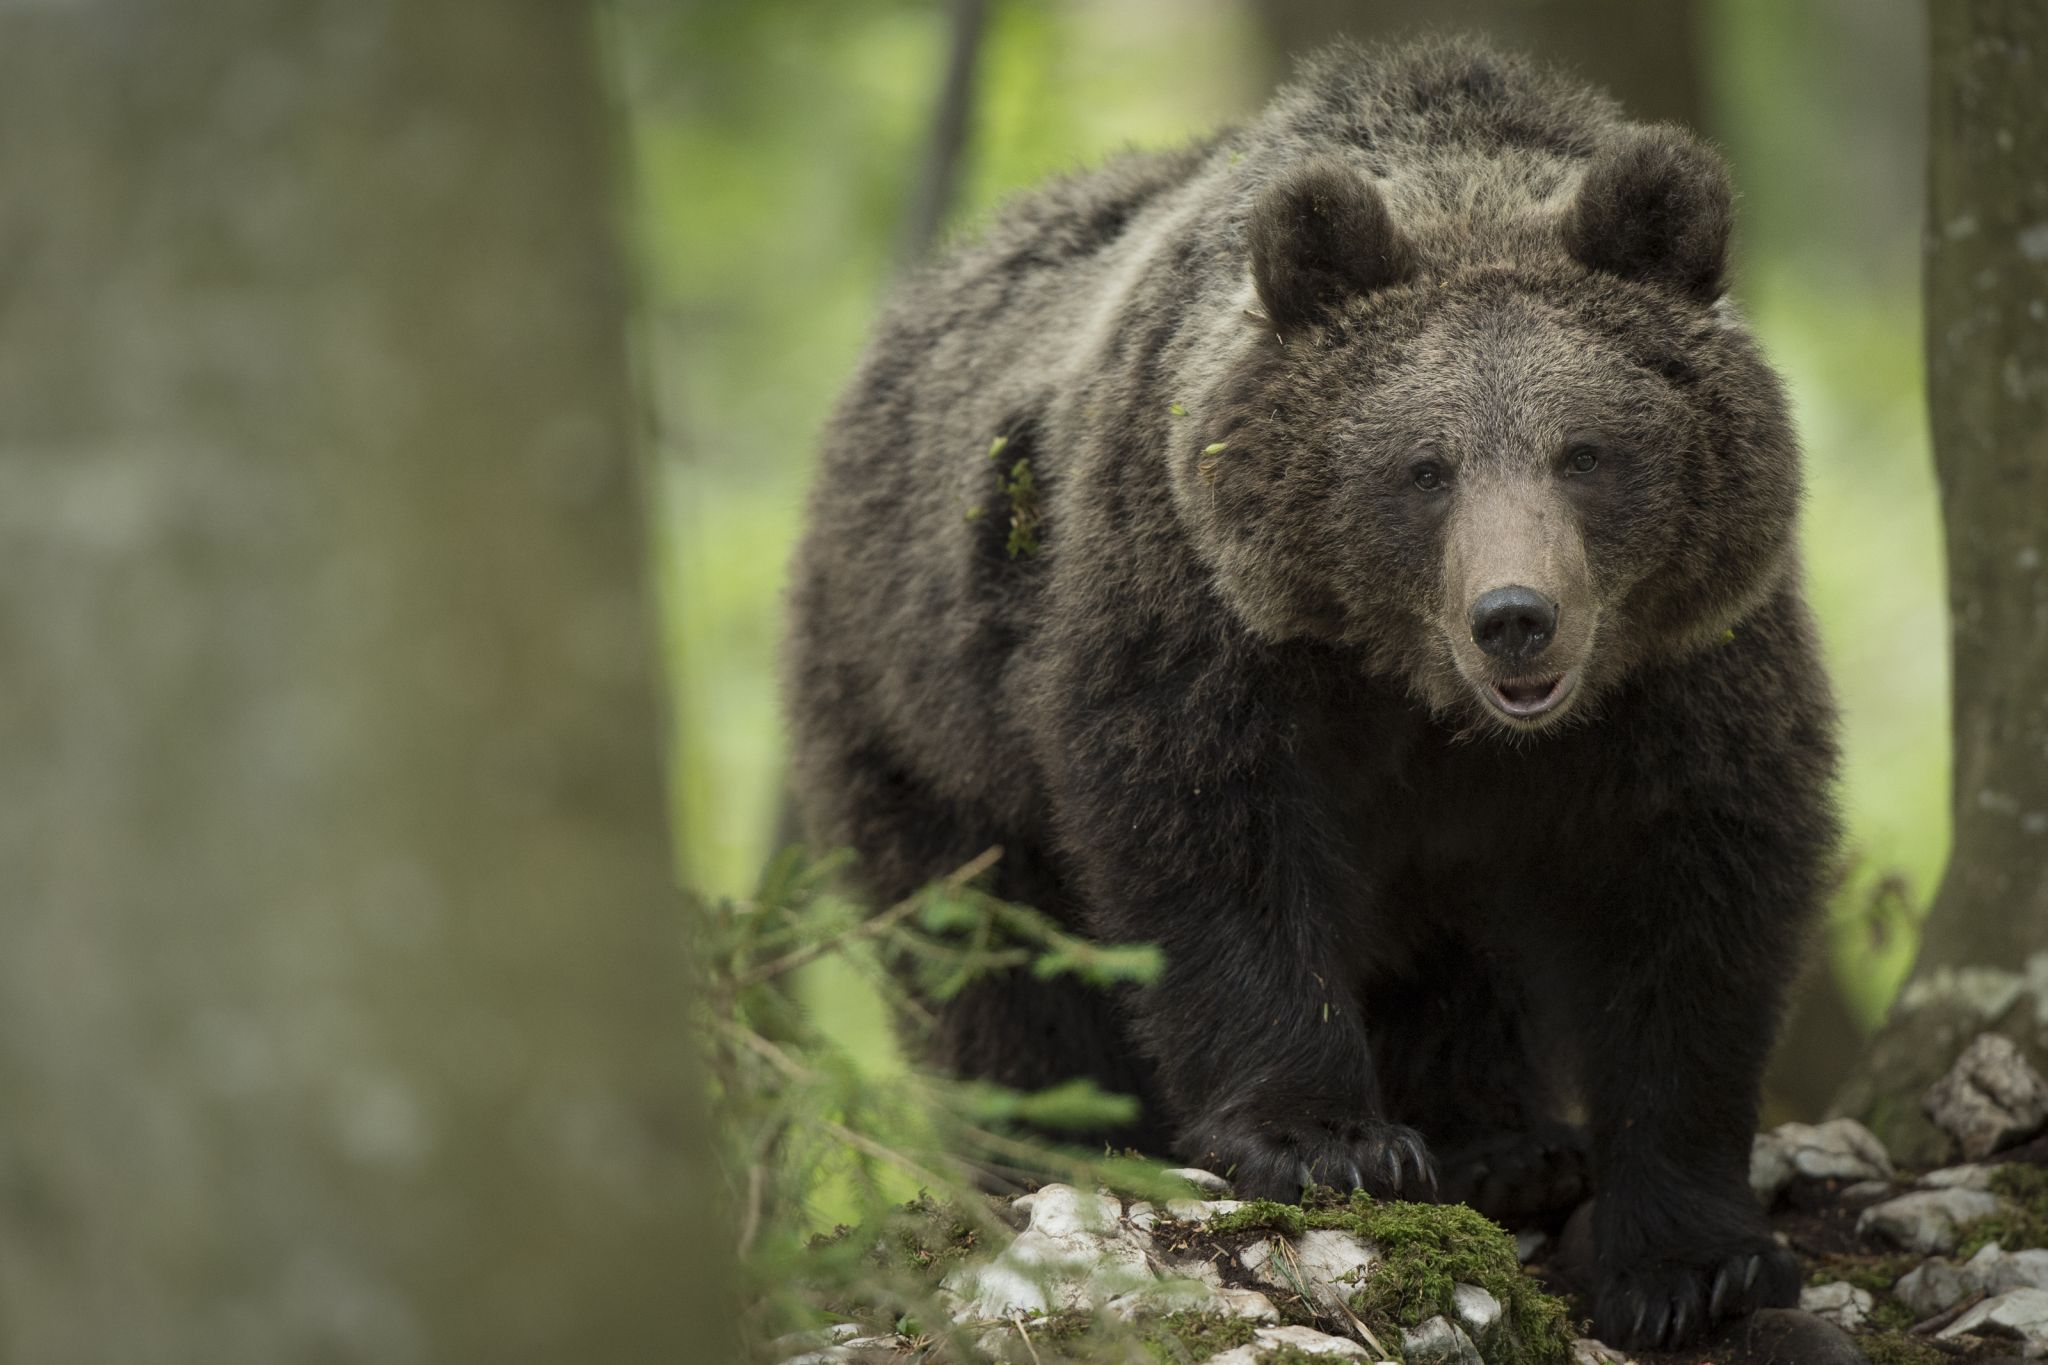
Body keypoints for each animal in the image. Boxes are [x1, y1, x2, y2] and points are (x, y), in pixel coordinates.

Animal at [782, 36, 1838, 1352]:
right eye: (1422, 468)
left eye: (1585, 452)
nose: (1513, 615)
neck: (1420, 691)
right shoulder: (1200, 611)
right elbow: (1213, 848)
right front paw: (1324, 1142)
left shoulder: (1684, 668)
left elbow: (1694, 903)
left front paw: (1698, 1264)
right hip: (924, 710)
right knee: (992, 958)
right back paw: (1057, 1148)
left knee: (1463, 952)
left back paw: (1504, 1148)